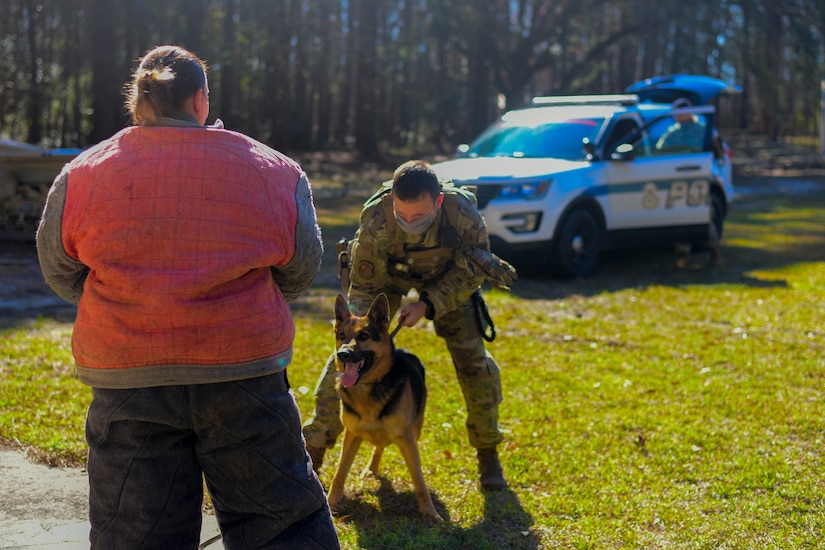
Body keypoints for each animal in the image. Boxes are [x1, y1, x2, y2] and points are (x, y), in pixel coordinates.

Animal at [324, 296, 444, 524]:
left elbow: (419, 480)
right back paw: (371, 468)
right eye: (342, 336)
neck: (368, 385)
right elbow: (340, 473)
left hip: (415, 430)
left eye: (363, 336)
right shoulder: (351, 435)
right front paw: (331, 503)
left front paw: (430, 512)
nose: (342, 354)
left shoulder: (407, 440)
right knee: (378, 445)